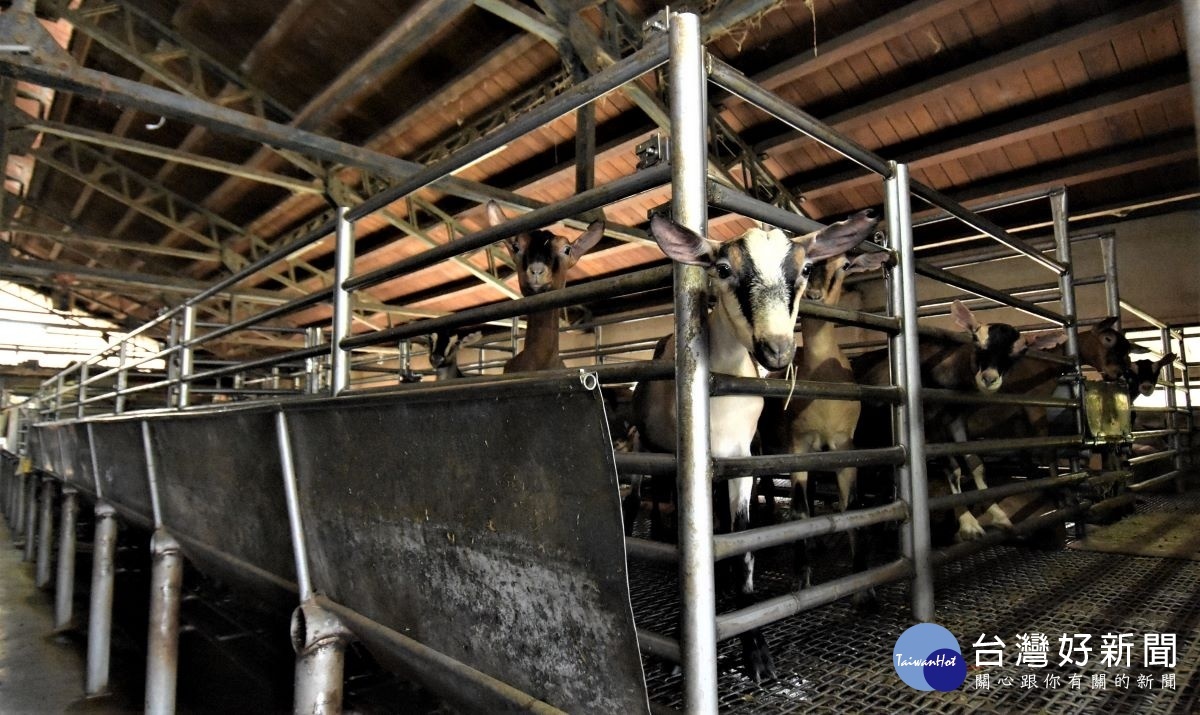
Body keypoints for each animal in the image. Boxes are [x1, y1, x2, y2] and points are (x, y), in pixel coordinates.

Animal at [633, 209, 878, 686]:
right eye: (723, 269)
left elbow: (742, 543)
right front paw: (678, 650)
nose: (777, 350)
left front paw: (757, 651)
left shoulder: (740, 461)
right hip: (653, 452)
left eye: (804, 269)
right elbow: (694, 545)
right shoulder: (688, 465)